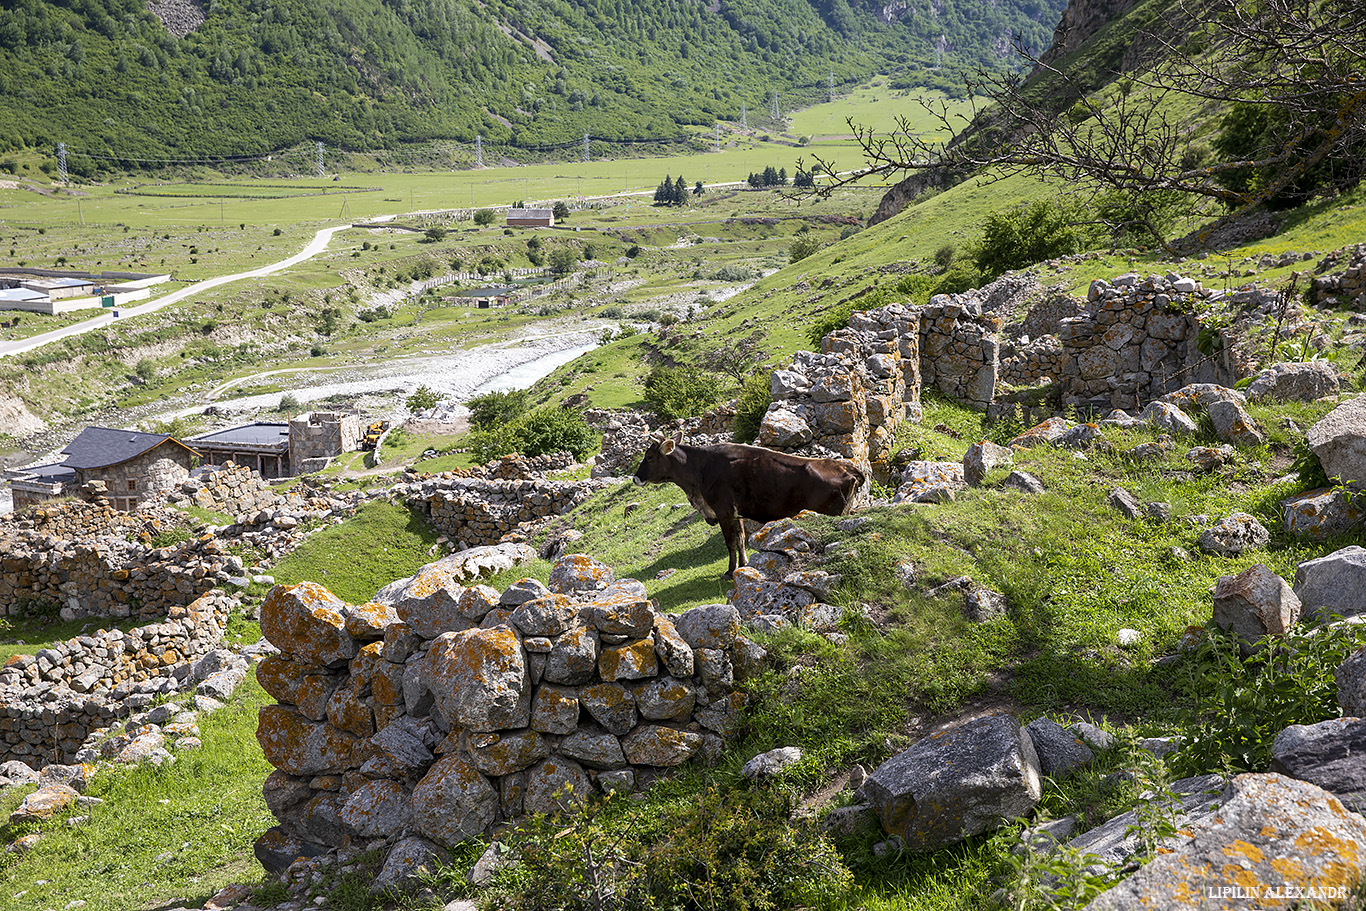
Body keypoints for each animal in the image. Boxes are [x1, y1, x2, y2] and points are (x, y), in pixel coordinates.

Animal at [631, 434, 863, 576]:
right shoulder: (737, 514)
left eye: (649, 457)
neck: (700, 471)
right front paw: (743, 565)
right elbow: (741, 539)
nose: (635, 478)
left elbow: (730, 543)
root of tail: (845, 466)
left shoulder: (723, 511)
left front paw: (729, 571)